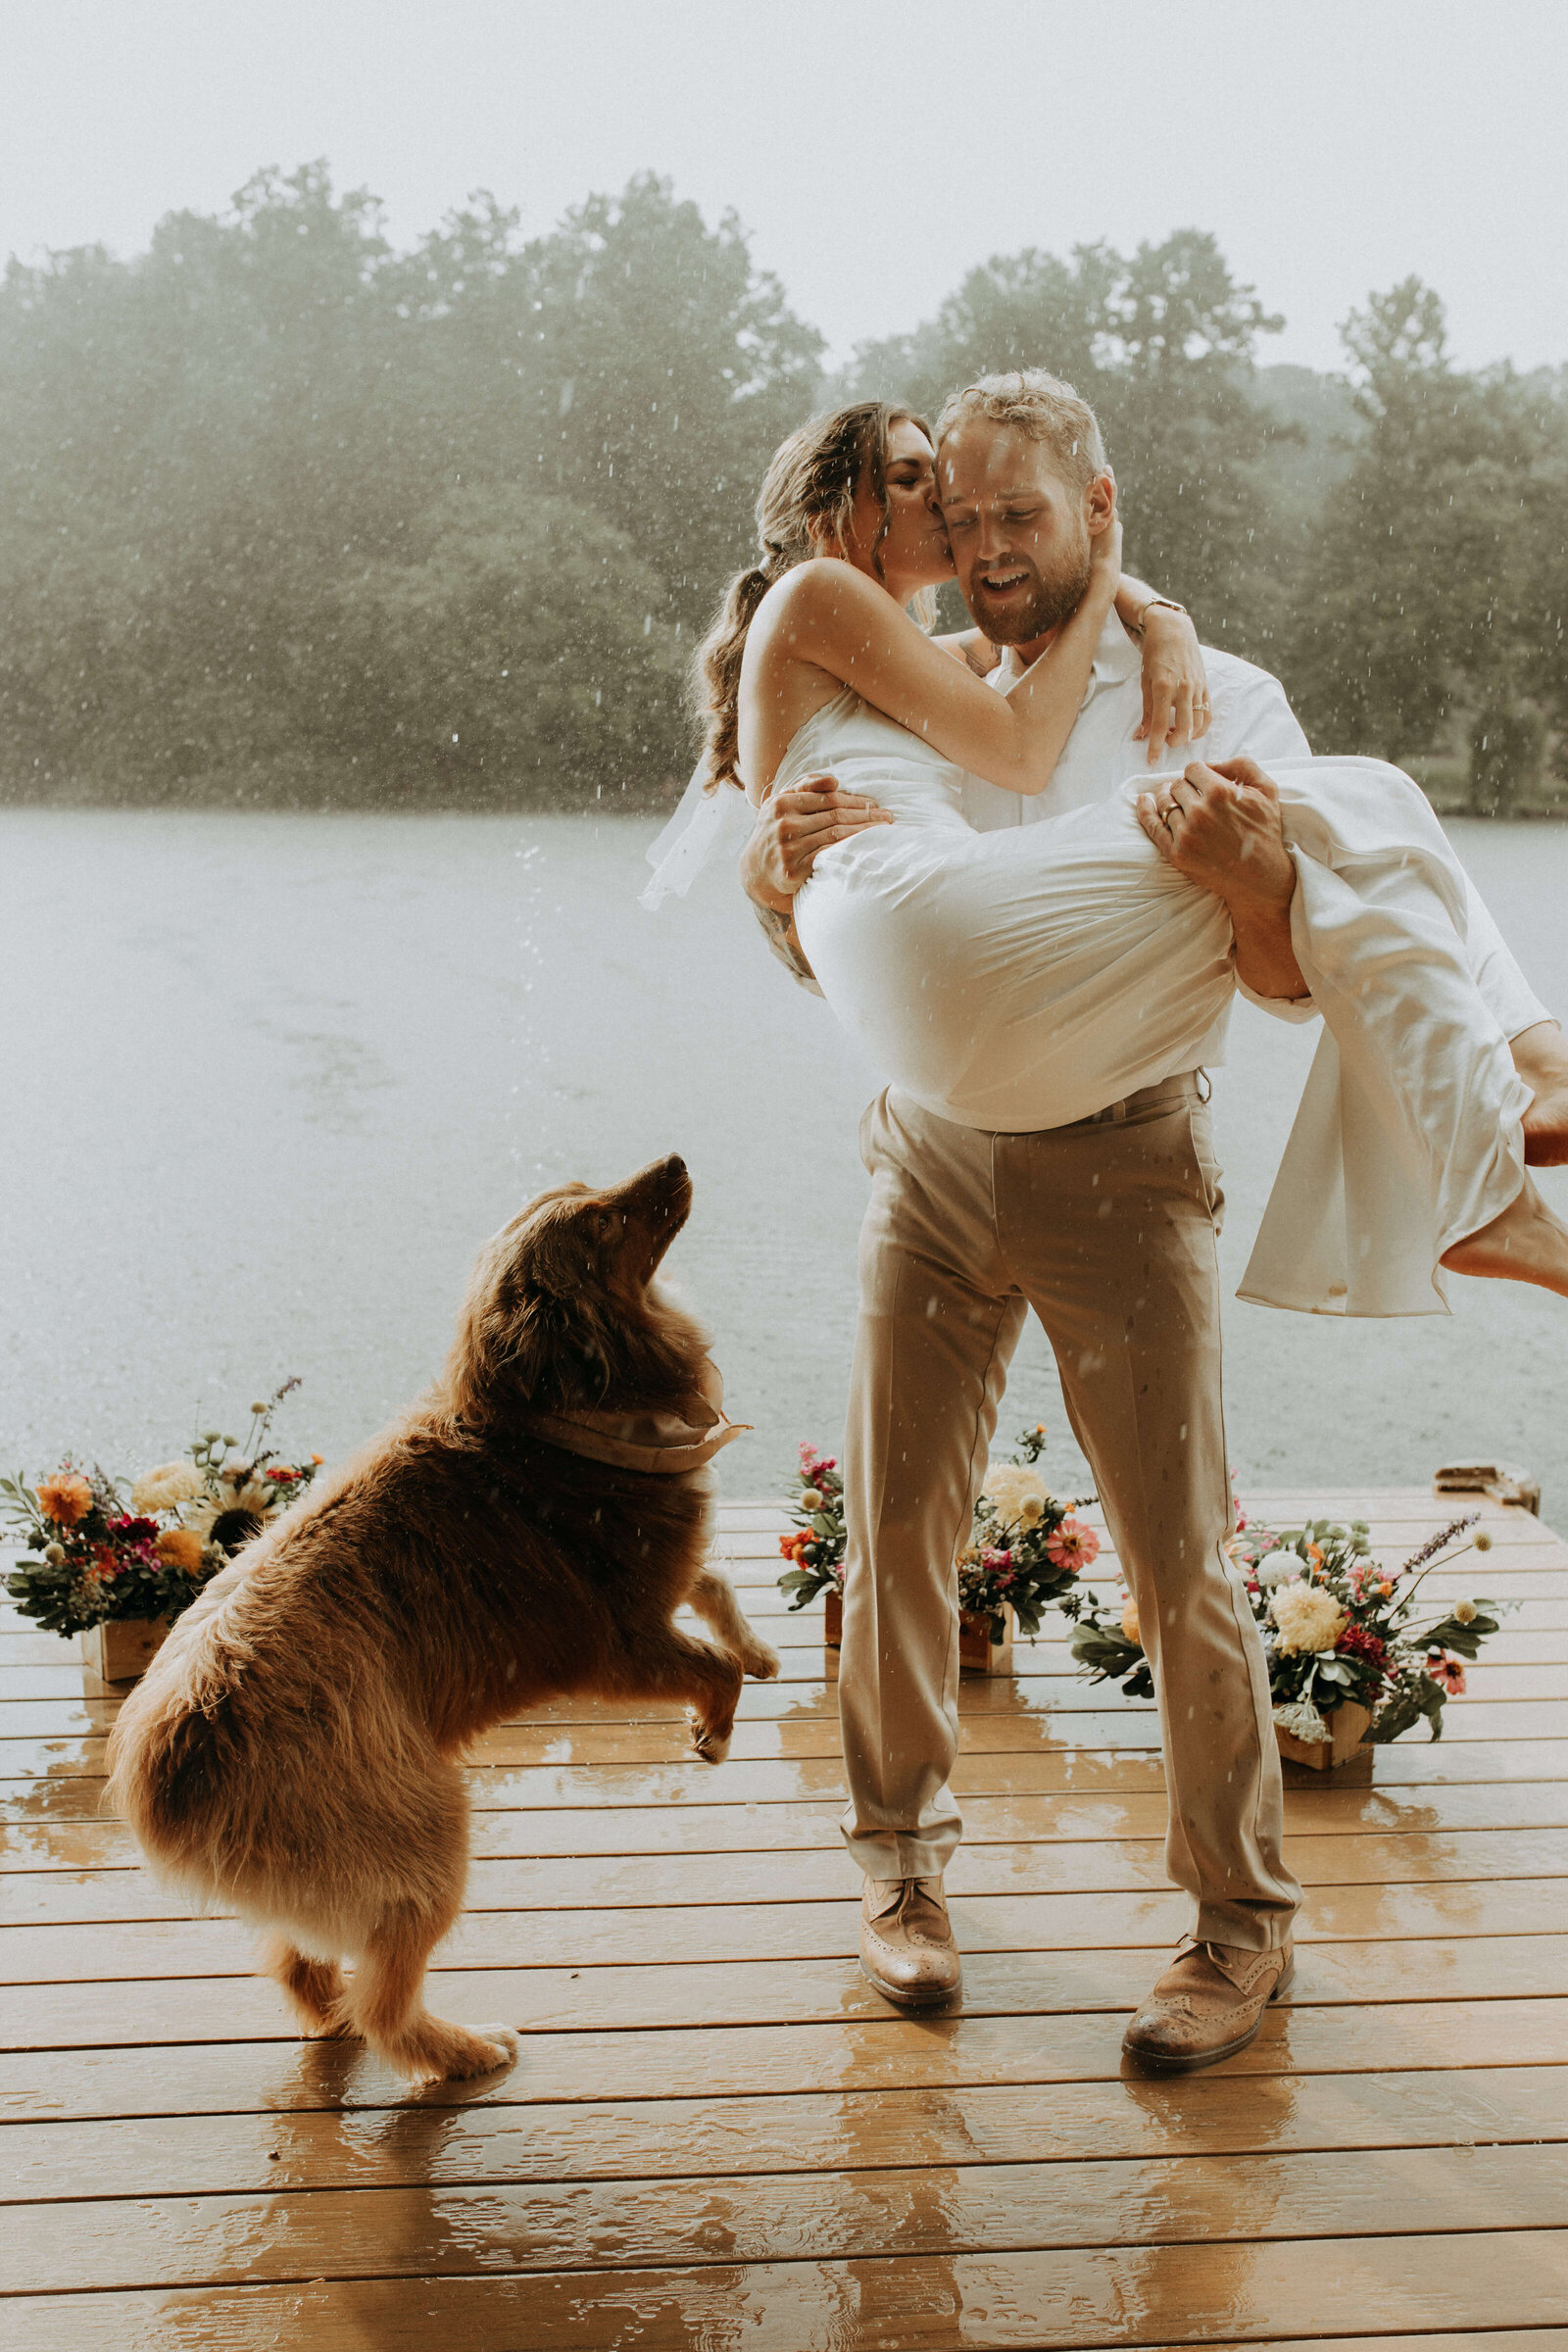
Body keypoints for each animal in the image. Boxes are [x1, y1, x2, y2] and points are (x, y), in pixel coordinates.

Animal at [104, 1156, 780, 2079]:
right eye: (604, 1223)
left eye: (587, 1192)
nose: (674, 1161)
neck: (556, 1424)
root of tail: (163, 1769)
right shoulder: (620, 1645)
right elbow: (711, 1665)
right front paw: (714, 1730)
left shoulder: (659, 1589)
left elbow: (714, 1583)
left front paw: (760, 1648)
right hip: (427, 1834)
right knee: (386, 2006)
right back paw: (467, 2051)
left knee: (303, 1968)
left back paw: (342, 2017)